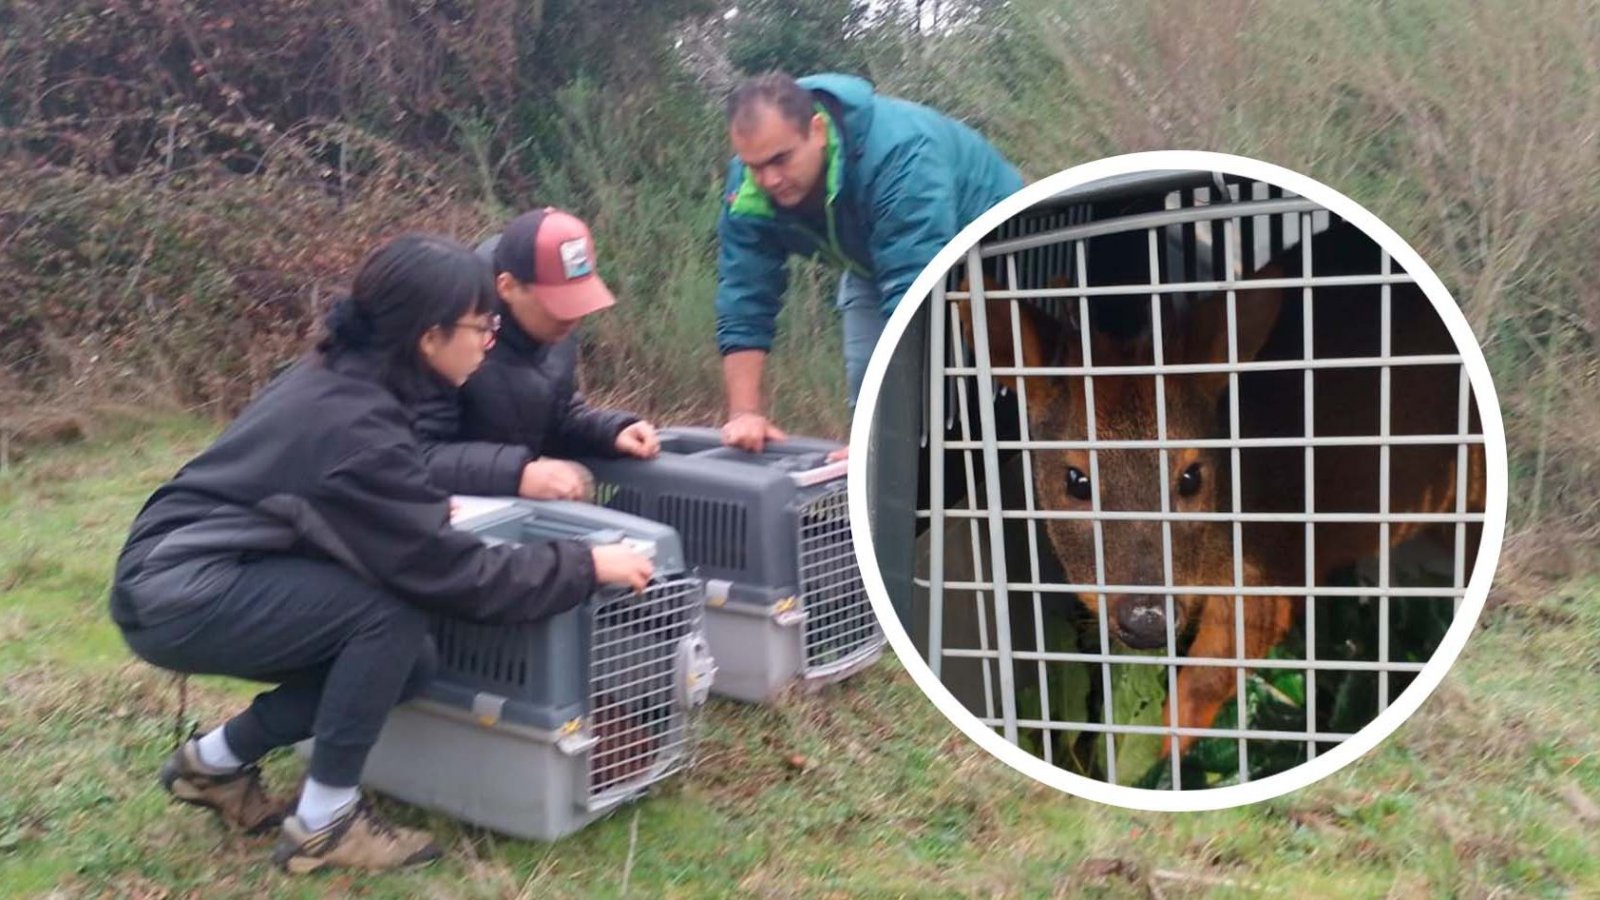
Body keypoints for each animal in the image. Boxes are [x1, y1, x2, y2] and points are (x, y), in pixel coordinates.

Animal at [953, 219, 1478, 755]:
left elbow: (1202, 686)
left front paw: (1154, 756)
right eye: (1076, 480)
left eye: (1192, 475)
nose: (1147, 618)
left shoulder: (1272, 567)